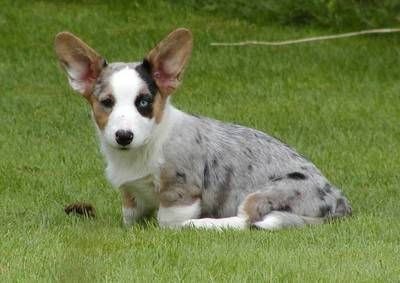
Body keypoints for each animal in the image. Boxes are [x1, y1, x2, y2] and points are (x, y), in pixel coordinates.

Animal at [55, 28, 350, 231]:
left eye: (144, 103)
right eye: (107, 102)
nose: (124, 136)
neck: (147, 146)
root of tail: (339, 202)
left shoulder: (180, 194)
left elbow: (165, 221)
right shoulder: (132, 195)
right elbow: (129, 216)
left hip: (263, 194)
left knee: (246, 221)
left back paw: (202, 225)